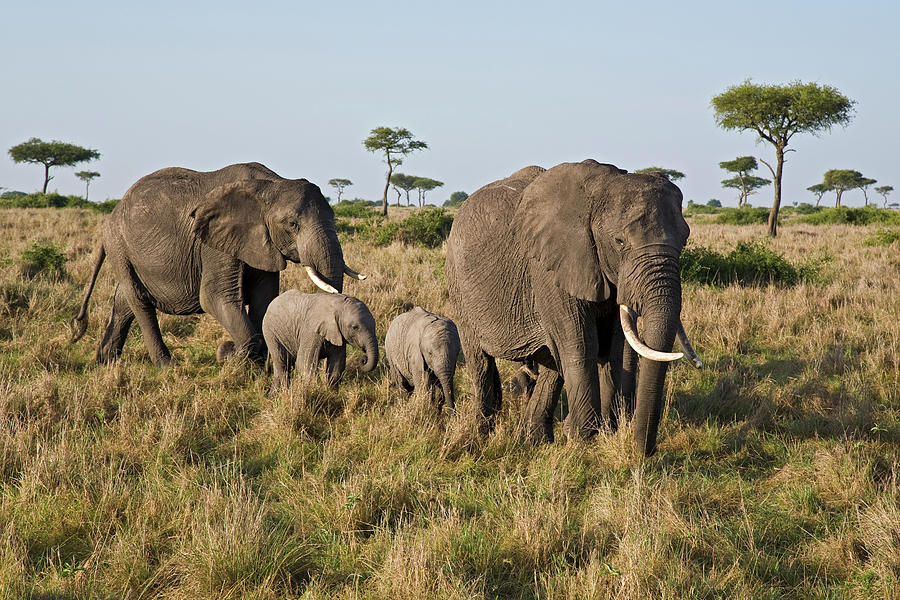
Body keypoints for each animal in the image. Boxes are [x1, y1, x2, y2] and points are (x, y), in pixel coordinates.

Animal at [70, 162, 366, 366]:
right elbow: (215, 297)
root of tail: (112, 213)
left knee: (124, 301)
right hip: (119, 245)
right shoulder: (213, 244)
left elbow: (265, 297)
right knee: (139, 301)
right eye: (292, 224)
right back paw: (167, 366)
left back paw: (106, 362)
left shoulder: (260, 242)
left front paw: (258, 363)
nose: (224, 349)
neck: (270, 185)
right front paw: (232, 356)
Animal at [448, 159, 704, 454]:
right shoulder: (549, 268)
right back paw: (481, 435)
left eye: (684, 240)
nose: (643, 452)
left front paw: (601, 431)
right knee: (480, 359)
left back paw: (534, 440)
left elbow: (615, 346)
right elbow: (581, 344)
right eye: (619, 241)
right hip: (459, 286)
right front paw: (583, 438)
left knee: (551, 363)